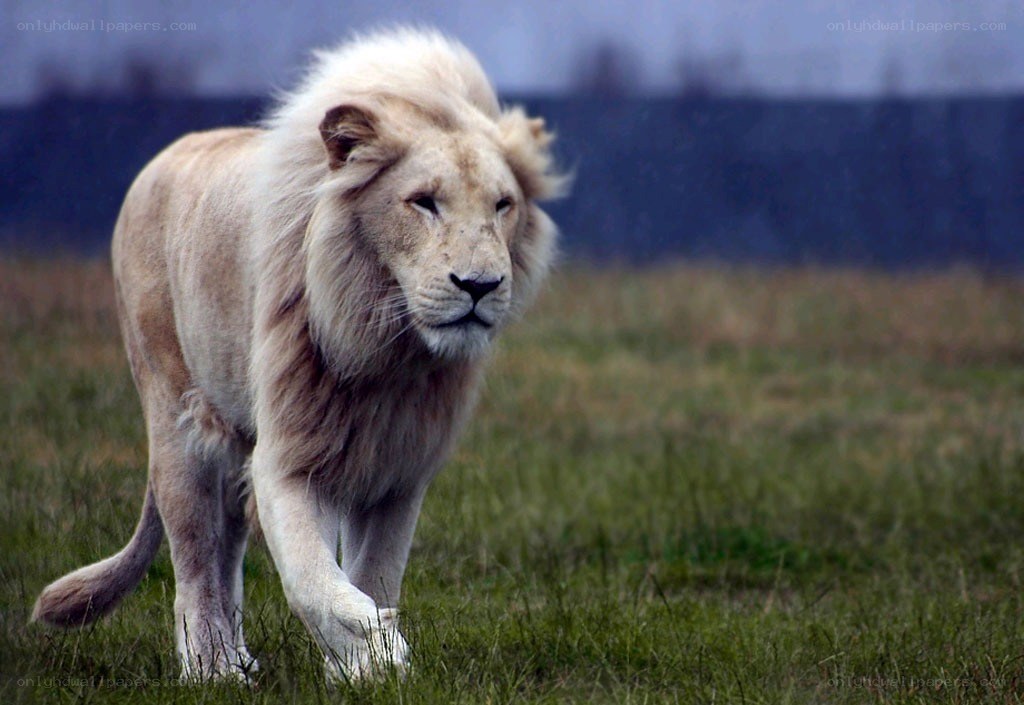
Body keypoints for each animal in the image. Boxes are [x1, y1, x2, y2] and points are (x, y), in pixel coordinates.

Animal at [32, 28, 566, 682]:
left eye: (502, 205)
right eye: (424, 202)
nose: (480, 286)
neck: (388, 347)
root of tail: (165, 157)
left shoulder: (399, 469)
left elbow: (376, 571)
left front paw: (367, 666)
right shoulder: (290, 455)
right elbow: (313, 577)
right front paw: (373, 640)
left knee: (226, 548)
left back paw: (239, 658)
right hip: (175, 415)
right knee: (194, 559)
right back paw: (212, 669)